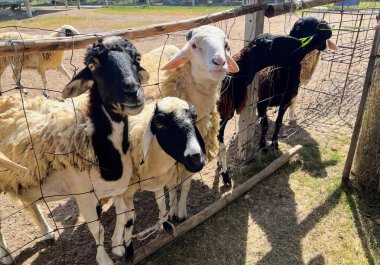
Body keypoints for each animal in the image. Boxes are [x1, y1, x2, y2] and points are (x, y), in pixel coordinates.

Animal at [0, 35, 148, 264]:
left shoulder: (116, 188)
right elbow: (98, 231)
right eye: (93, 65)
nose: (132, 92)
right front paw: (104, 259)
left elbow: (123, 212)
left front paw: (118, 246)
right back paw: (6, 256)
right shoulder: (84, 196)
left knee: (30, 203)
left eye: (137, 57)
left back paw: (47, 233)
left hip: (22, 178)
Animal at [215, 17, 336, 185]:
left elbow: (278, 123)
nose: (327, 29)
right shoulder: (261, 103)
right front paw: (263, 146)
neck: (280, 75)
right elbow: (265, 125)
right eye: (303, 26)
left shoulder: (285, 101)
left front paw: (274, 143)